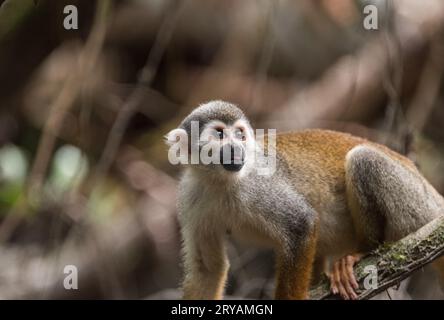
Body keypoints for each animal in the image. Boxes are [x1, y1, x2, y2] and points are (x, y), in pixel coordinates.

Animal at [166, 100, 444, 300]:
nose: (237, 148)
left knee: (363, 159)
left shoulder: (257, 183)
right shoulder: (190, 197)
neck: (220, 181)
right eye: (220, 134)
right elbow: (207, 269)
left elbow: (301, 224)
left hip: (415, 202)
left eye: (240, 135)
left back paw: (363, 251)